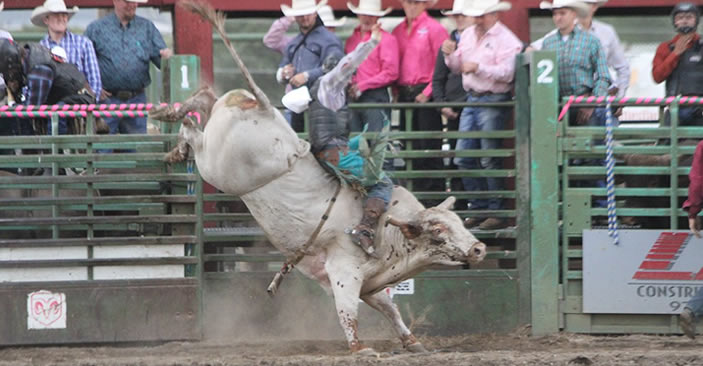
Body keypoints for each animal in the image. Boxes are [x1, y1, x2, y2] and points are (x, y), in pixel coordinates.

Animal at [151, 0, 486, 354]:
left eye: (459, 222)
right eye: (437, 230)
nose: (479, 249)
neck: (389, 231)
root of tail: (266, 109)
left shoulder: (371, 284)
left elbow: (390, 308)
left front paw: (412, 341)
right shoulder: (344, 273)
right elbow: (347, 311)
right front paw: (360, 348)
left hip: (223, 127)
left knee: (205, 100)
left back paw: (173, 117)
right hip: (218, 165)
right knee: (193, 130)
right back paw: (174, 135)